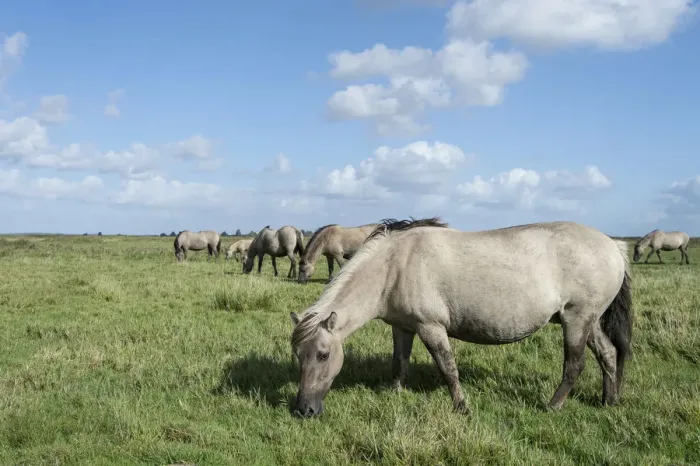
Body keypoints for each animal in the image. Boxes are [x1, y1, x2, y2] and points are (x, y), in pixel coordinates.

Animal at [289, 218, 633, 418]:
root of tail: (613, 244)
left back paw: (552, 406)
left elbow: (448, 368)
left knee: (574, 365)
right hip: (588, 321)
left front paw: (461, 407)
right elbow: (399, 363)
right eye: (298, 356)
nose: (304, 410)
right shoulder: (402, 328)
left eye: (323, 355)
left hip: (576, 321)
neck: (393, 265)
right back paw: (609, 401)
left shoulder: (430, 327)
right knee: (608, 355)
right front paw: (396, 393)